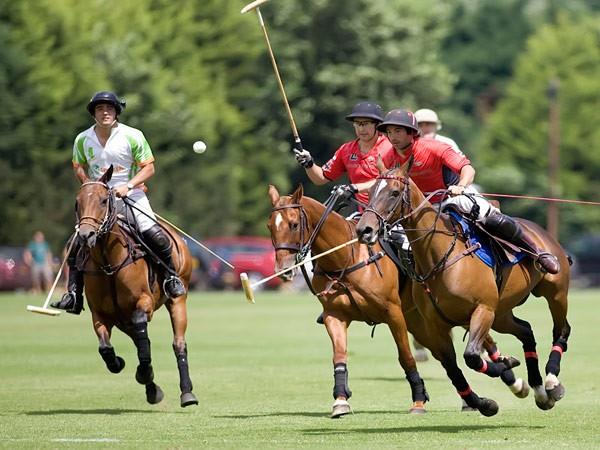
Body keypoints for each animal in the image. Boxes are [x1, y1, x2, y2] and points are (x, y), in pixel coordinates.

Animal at [74, 166, 198, 408]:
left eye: (104, 200)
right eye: (78, 202)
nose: (85, 236)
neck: (109, 263)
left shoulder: (143, 303)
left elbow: (144, 342)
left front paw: (144, 372)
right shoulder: (100, 314)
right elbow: (106, 348)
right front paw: (121, 364)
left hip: (177, 299)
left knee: (178, 344)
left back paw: (187, 393)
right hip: (122, 319)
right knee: (140, 341)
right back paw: (152, 389)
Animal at [268, 185, 524, 416]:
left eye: (293, 224)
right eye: (270, 226)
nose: (283, 270)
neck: (346, 259)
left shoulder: (393, 313)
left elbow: (406, 357)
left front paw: (418, 400)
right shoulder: (335, 316)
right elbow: (339, 357)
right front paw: (340, 401)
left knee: (483, 337)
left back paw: (510, 376)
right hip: (422, 322)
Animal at [356, 165, 572, 412]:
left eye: (394, 192)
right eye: (371, 190)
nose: (364, 230)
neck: (438, 257)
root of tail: (540, 230)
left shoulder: (482, 310)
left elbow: (471, 356)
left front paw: (503, 369)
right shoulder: (436, 325)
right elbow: (453, 367)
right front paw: (485, 402)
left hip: (555, 293)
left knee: (561, 330)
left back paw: (552, 382)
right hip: (501, 314)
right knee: (526, 330)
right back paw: (539, 390)